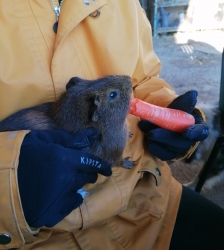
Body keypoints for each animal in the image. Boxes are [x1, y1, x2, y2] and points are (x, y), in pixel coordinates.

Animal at [0, 75, 135, 169]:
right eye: (113, 94)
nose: (129, 79)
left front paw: (130, 134)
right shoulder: (114, 151)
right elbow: (118, 162)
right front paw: (130, 163)